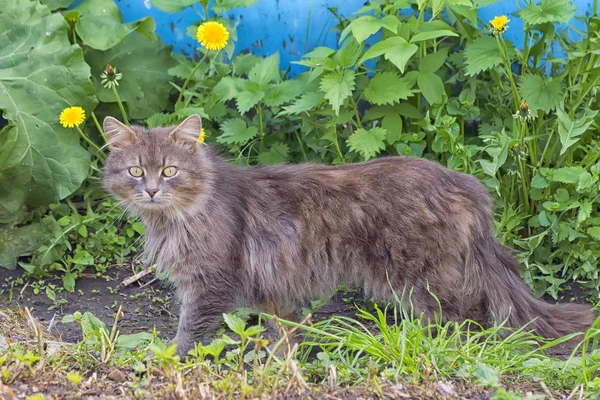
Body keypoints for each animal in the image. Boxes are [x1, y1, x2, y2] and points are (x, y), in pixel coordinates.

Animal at [102, 114, 596, 354]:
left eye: (169, 171)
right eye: (135, 171)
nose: (151, 190)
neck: (175, 219)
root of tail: (466, 183)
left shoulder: (209, 283)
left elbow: (189, 331)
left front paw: (167, 359)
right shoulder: (271, 285)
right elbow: (284, 332)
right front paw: (278, 364)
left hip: (418, 278)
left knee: (467, 317)